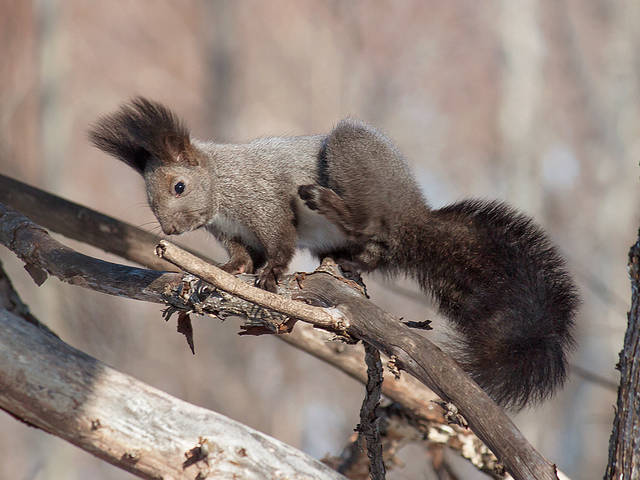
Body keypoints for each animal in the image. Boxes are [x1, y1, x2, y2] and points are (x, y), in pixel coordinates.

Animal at [89, 97, 578, 409]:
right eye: (150, 199)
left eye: (178, 186)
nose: (171, 229)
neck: (222, 185)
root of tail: (413, 214)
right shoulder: (229, 232)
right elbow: (240, 257)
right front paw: (222, 273)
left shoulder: (264, 204)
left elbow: (279, 243)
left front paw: (269, 276)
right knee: (376, 248)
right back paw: (348, 261)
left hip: (353, 155)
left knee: (374, 224)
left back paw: (326, 202)